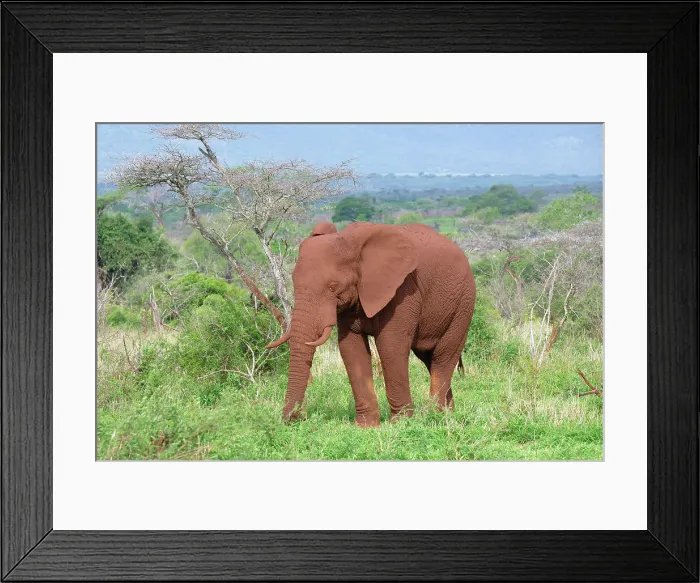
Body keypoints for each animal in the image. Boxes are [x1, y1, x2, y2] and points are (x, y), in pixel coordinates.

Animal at [266, 220, 476, 427]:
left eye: (333, 287)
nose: (297, 417)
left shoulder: (403, 290)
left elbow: (390, 346)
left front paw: (400, 424)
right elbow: (351, 348)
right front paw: (365, 426)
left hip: (463, 304)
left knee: (442, 357)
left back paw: (435, 416)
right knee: (428, 358)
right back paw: (449, 414)